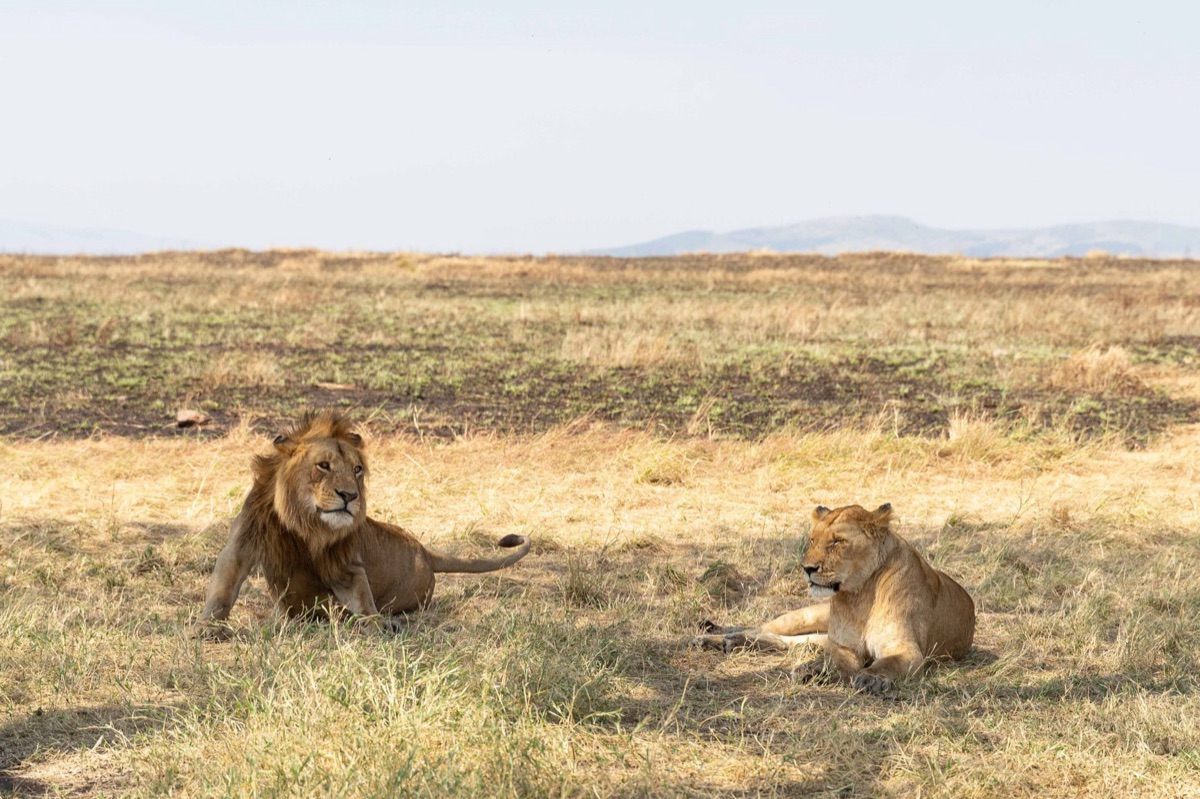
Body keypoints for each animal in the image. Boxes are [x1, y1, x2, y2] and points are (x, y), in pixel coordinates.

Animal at [197, 411, 531, 637]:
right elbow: (222, 591)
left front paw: (377, 623)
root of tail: (425, 551)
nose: (349, 496)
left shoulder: (346, 566)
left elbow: (361, 601)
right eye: (323, 465)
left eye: (357, 469)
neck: (306, 525)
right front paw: (206, 628)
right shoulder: (241, 545)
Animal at [695, 503, 975, 693]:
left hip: (817, 636)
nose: (807, 568)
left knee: (790, 642)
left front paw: (871, 677)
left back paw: (732, 642)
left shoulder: (906, 649)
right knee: (766, 628)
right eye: (812, 540)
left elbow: (888, 663)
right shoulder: (842, 645)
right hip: (806, 616)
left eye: (837, 542)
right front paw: (814, 670)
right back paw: (717, 638)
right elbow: (834, 662)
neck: (860, 595)